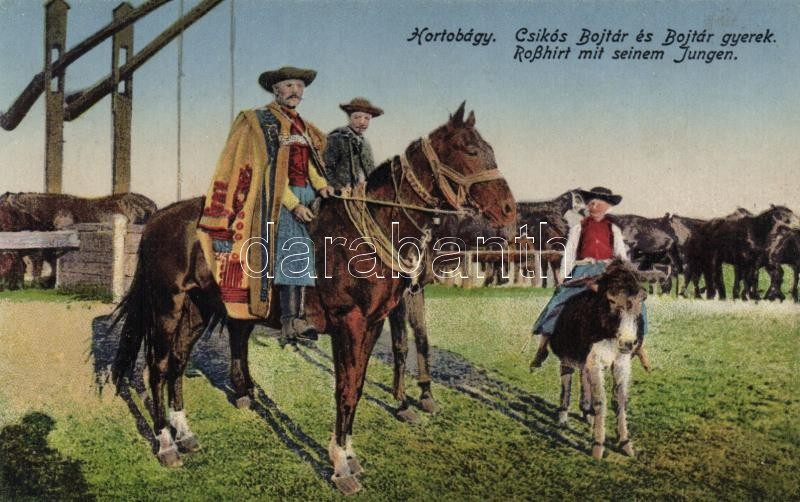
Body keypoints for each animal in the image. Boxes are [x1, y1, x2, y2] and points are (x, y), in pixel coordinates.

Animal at [109, 104, 516, 496]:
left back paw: (186, 433)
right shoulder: (348, 323)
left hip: (197, 308)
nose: (510, 210)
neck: (365, 234)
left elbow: (358, 386)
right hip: (167, 306)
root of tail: (157, 219)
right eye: (471, 149)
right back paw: (166, 444)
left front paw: (350, 456)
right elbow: (344, 390)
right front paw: (340, 467)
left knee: (177, 363)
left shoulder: (372, 325)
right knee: (158, 366)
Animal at [548, 260, 648, 460]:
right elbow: (601, 401)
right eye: (611, 300)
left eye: (642, 299)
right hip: (568, 358)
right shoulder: (595, 362)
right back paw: (563, 416)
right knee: (566, 381)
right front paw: (598, 446)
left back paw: (587, 413)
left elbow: (620, 400)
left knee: (582, 378)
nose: (627, 342)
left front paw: (625, 443)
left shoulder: (621, 363)